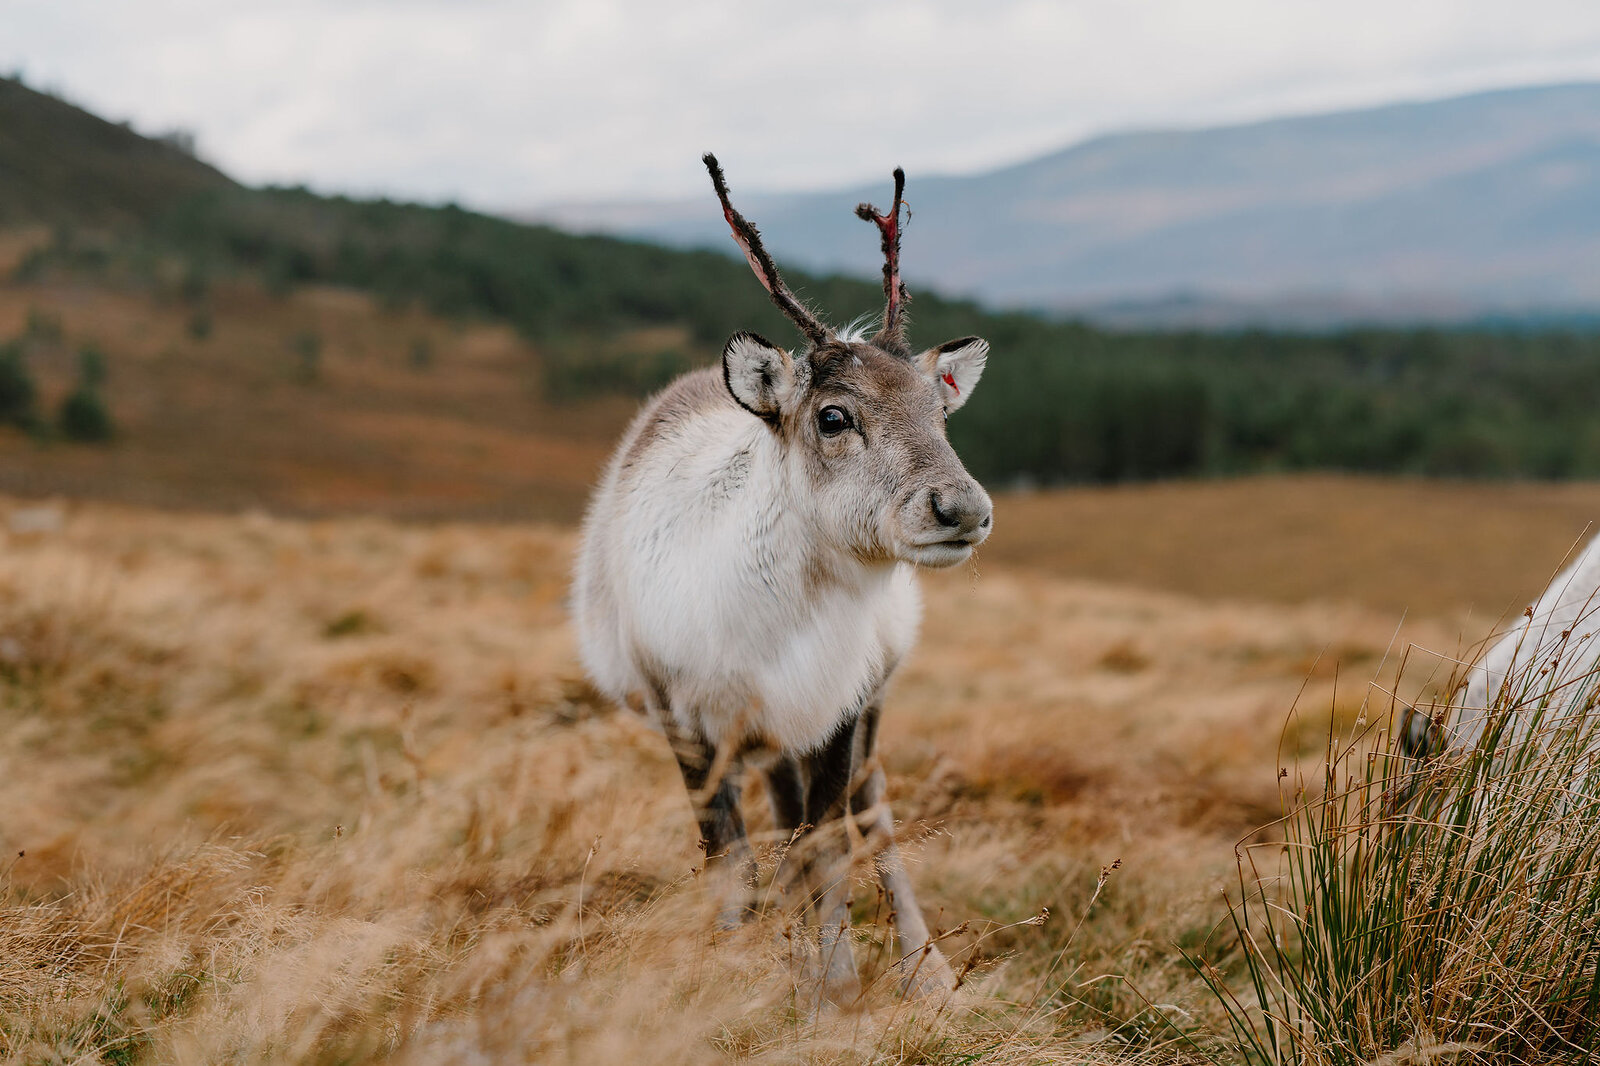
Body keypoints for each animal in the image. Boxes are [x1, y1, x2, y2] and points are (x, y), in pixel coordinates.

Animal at [572, 154, 992, 1005]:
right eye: (833, 417)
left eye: (941, 412)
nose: (961, 507)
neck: (778, 629)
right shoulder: (687, 720)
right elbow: (731, 864)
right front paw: (744, 976)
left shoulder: (838, 710)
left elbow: (824, 853)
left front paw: (834, 991)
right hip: (763, 741)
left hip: (866, 711)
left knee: (874, 816)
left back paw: (926, 971)